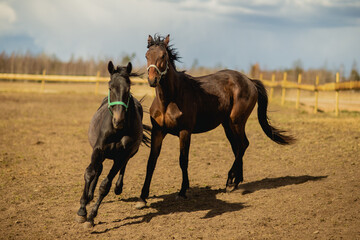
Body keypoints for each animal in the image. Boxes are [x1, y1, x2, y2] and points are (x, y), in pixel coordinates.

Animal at [77, 61, 150, 227]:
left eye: (128, 88)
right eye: (110, 87)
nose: (119, 120)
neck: (117, 131)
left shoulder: (121, 156)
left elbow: (105, 185)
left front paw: (91, 217)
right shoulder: (98, 150)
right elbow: (90, 173)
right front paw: (82, 209)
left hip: (129, 154)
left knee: (123, 167)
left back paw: (118, 187)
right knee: (98, 169)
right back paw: (89, 195)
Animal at [136, 33, 296, 208]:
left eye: (164, 55)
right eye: (146, 55)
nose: (152, 80)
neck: (170, 99)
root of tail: (249, 81)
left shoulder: (185, 132)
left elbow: (183, 160)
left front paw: (182, 192)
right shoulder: (158, 131)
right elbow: (151, 162)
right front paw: (142, 198)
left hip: (237, 122)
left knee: (243, 144)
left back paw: (231, 180)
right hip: (227, 125)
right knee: (237, 147)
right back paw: (234, 182)